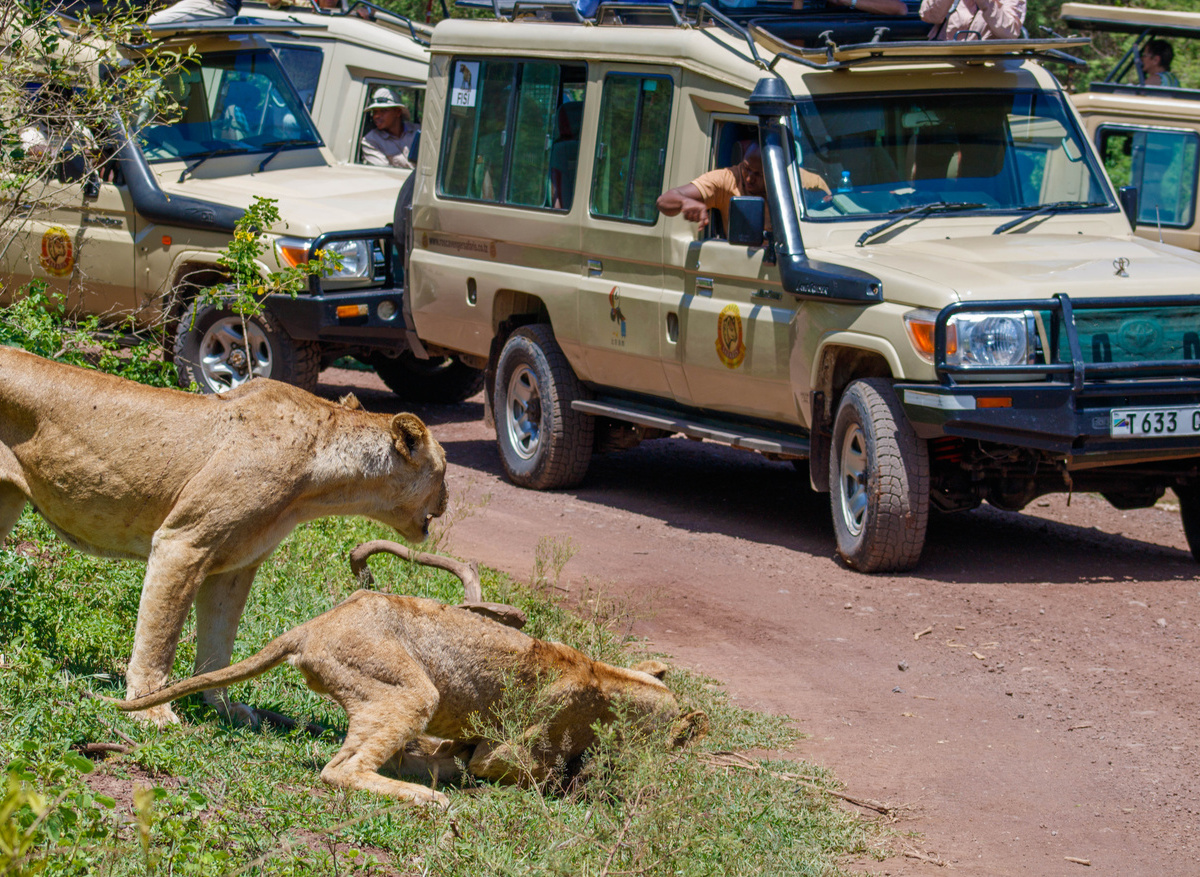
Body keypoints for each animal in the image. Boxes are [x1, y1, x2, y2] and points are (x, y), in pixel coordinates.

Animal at [0, 346, 447, 726]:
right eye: (443, 469)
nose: (448, 499)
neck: (319, 482)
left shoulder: (235, 566)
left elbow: (220, 642)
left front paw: (220, 706)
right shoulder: (183, 544)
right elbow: (160, 636)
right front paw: (149, 710)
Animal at [117, 587, 696, 805]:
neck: (614, 682)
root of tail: (311, 626)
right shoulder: (508, 749)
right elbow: (532, 771)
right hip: (414, 690)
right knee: (341, 770)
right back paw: (429, 798)